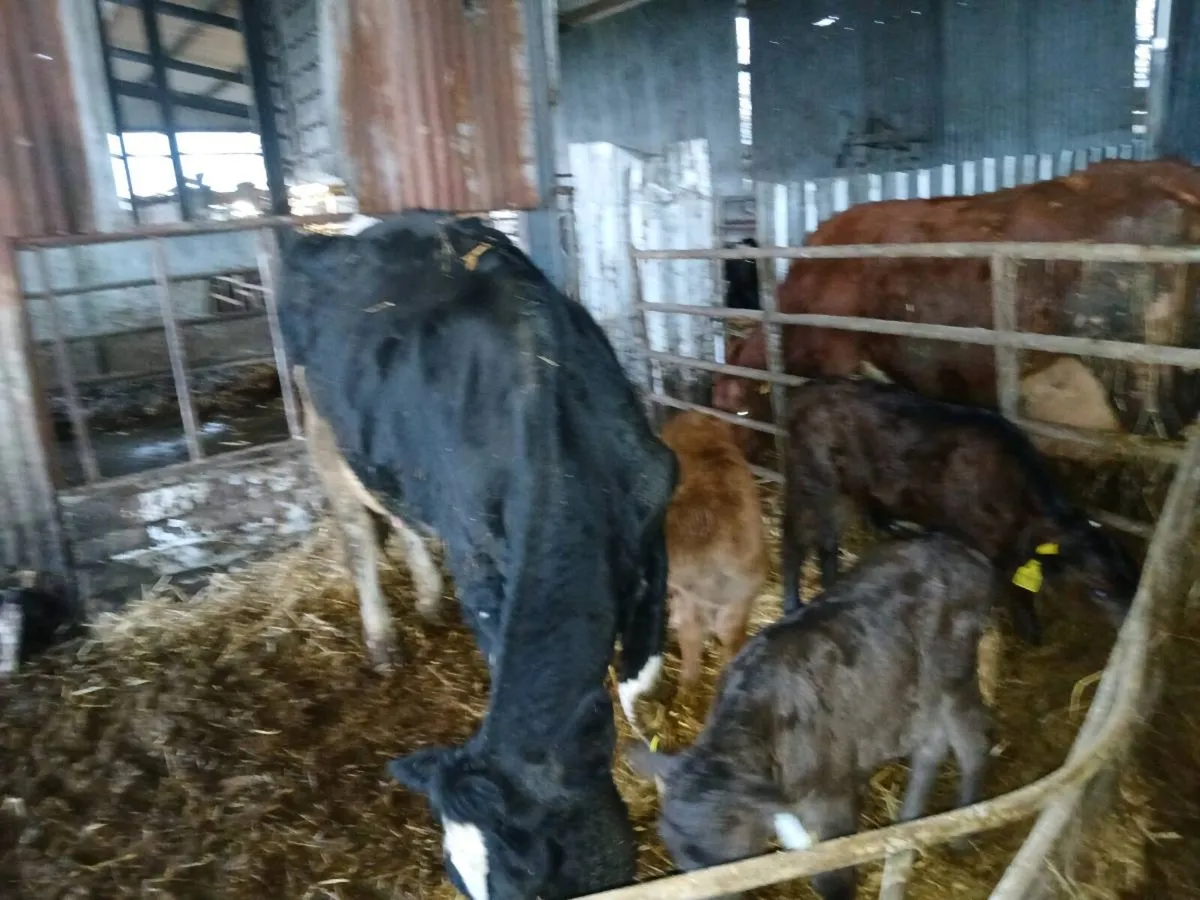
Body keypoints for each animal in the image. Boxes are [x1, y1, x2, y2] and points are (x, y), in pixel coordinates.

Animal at [275, 210, 678, 899]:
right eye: (456, 881)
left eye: (532, 874)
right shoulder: (485, 572)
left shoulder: (652, 521)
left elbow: (638, 677)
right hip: (326, 436)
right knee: (358, 538)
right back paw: (383, 640)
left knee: (401, 517)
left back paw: (428, 599)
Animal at [627, 535, 995, 900]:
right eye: (679, 857)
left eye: (728, 860)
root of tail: (967, 555)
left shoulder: (833, 798)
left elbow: (832, 872)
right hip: (915, 692)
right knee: (931, 745)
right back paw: (908, 824)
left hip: (954, 678)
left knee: (972, 743)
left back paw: (962, 834)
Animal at [779, 378, 1141, 645]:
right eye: (1098, 590)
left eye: (1134, 579)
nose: (1131, 632)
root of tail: (804, 391)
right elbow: (1011, 590)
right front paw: (1027, 633)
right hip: (809, 483)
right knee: (794, 541)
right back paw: (792, 604)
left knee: (830, 540)